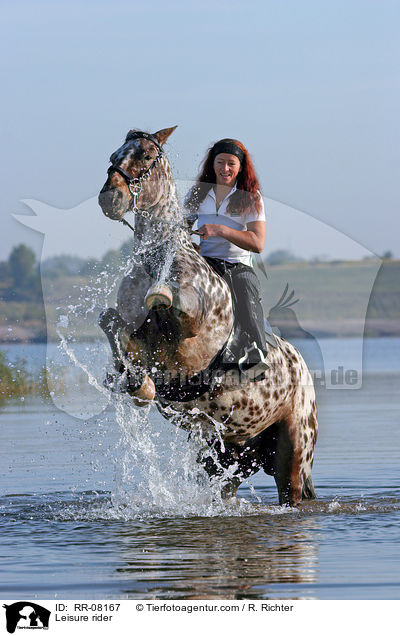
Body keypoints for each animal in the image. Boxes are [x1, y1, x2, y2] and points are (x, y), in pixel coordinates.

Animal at [97, 126, 318, 504]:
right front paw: (134, 381)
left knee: (292, 493)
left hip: (293, 453)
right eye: (113, 156)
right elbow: (110, 321)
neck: (158, 259)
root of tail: (302, 369)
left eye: (145, 155)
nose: (109, 198)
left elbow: (165, 302)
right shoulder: (129, 323)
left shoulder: (191, 331)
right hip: (227, 454)